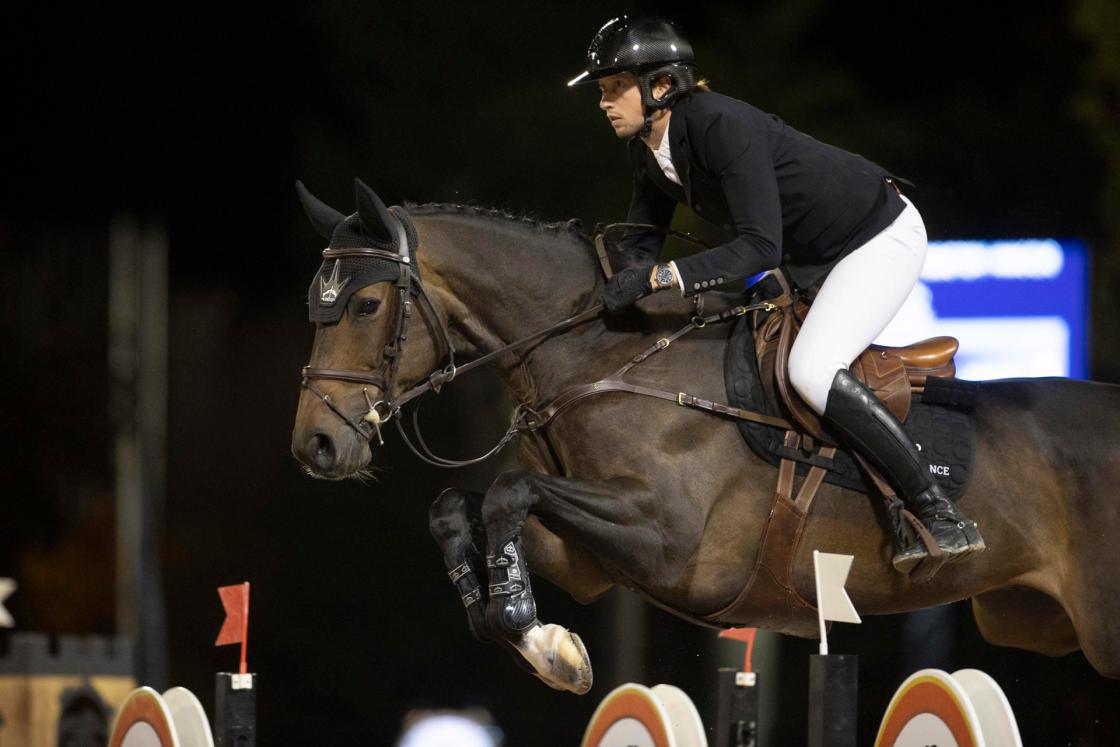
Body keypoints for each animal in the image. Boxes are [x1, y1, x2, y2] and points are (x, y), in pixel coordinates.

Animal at [290, 179, 1120, 695]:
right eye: (314, 307)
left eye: (365, 305)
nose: (315, 446)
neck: (601, 358)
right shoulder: (593, 559)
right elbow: (460, 507)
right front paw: (538, 639)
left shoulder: (669, 542)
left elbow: (507, 490)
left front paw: (531, 629)